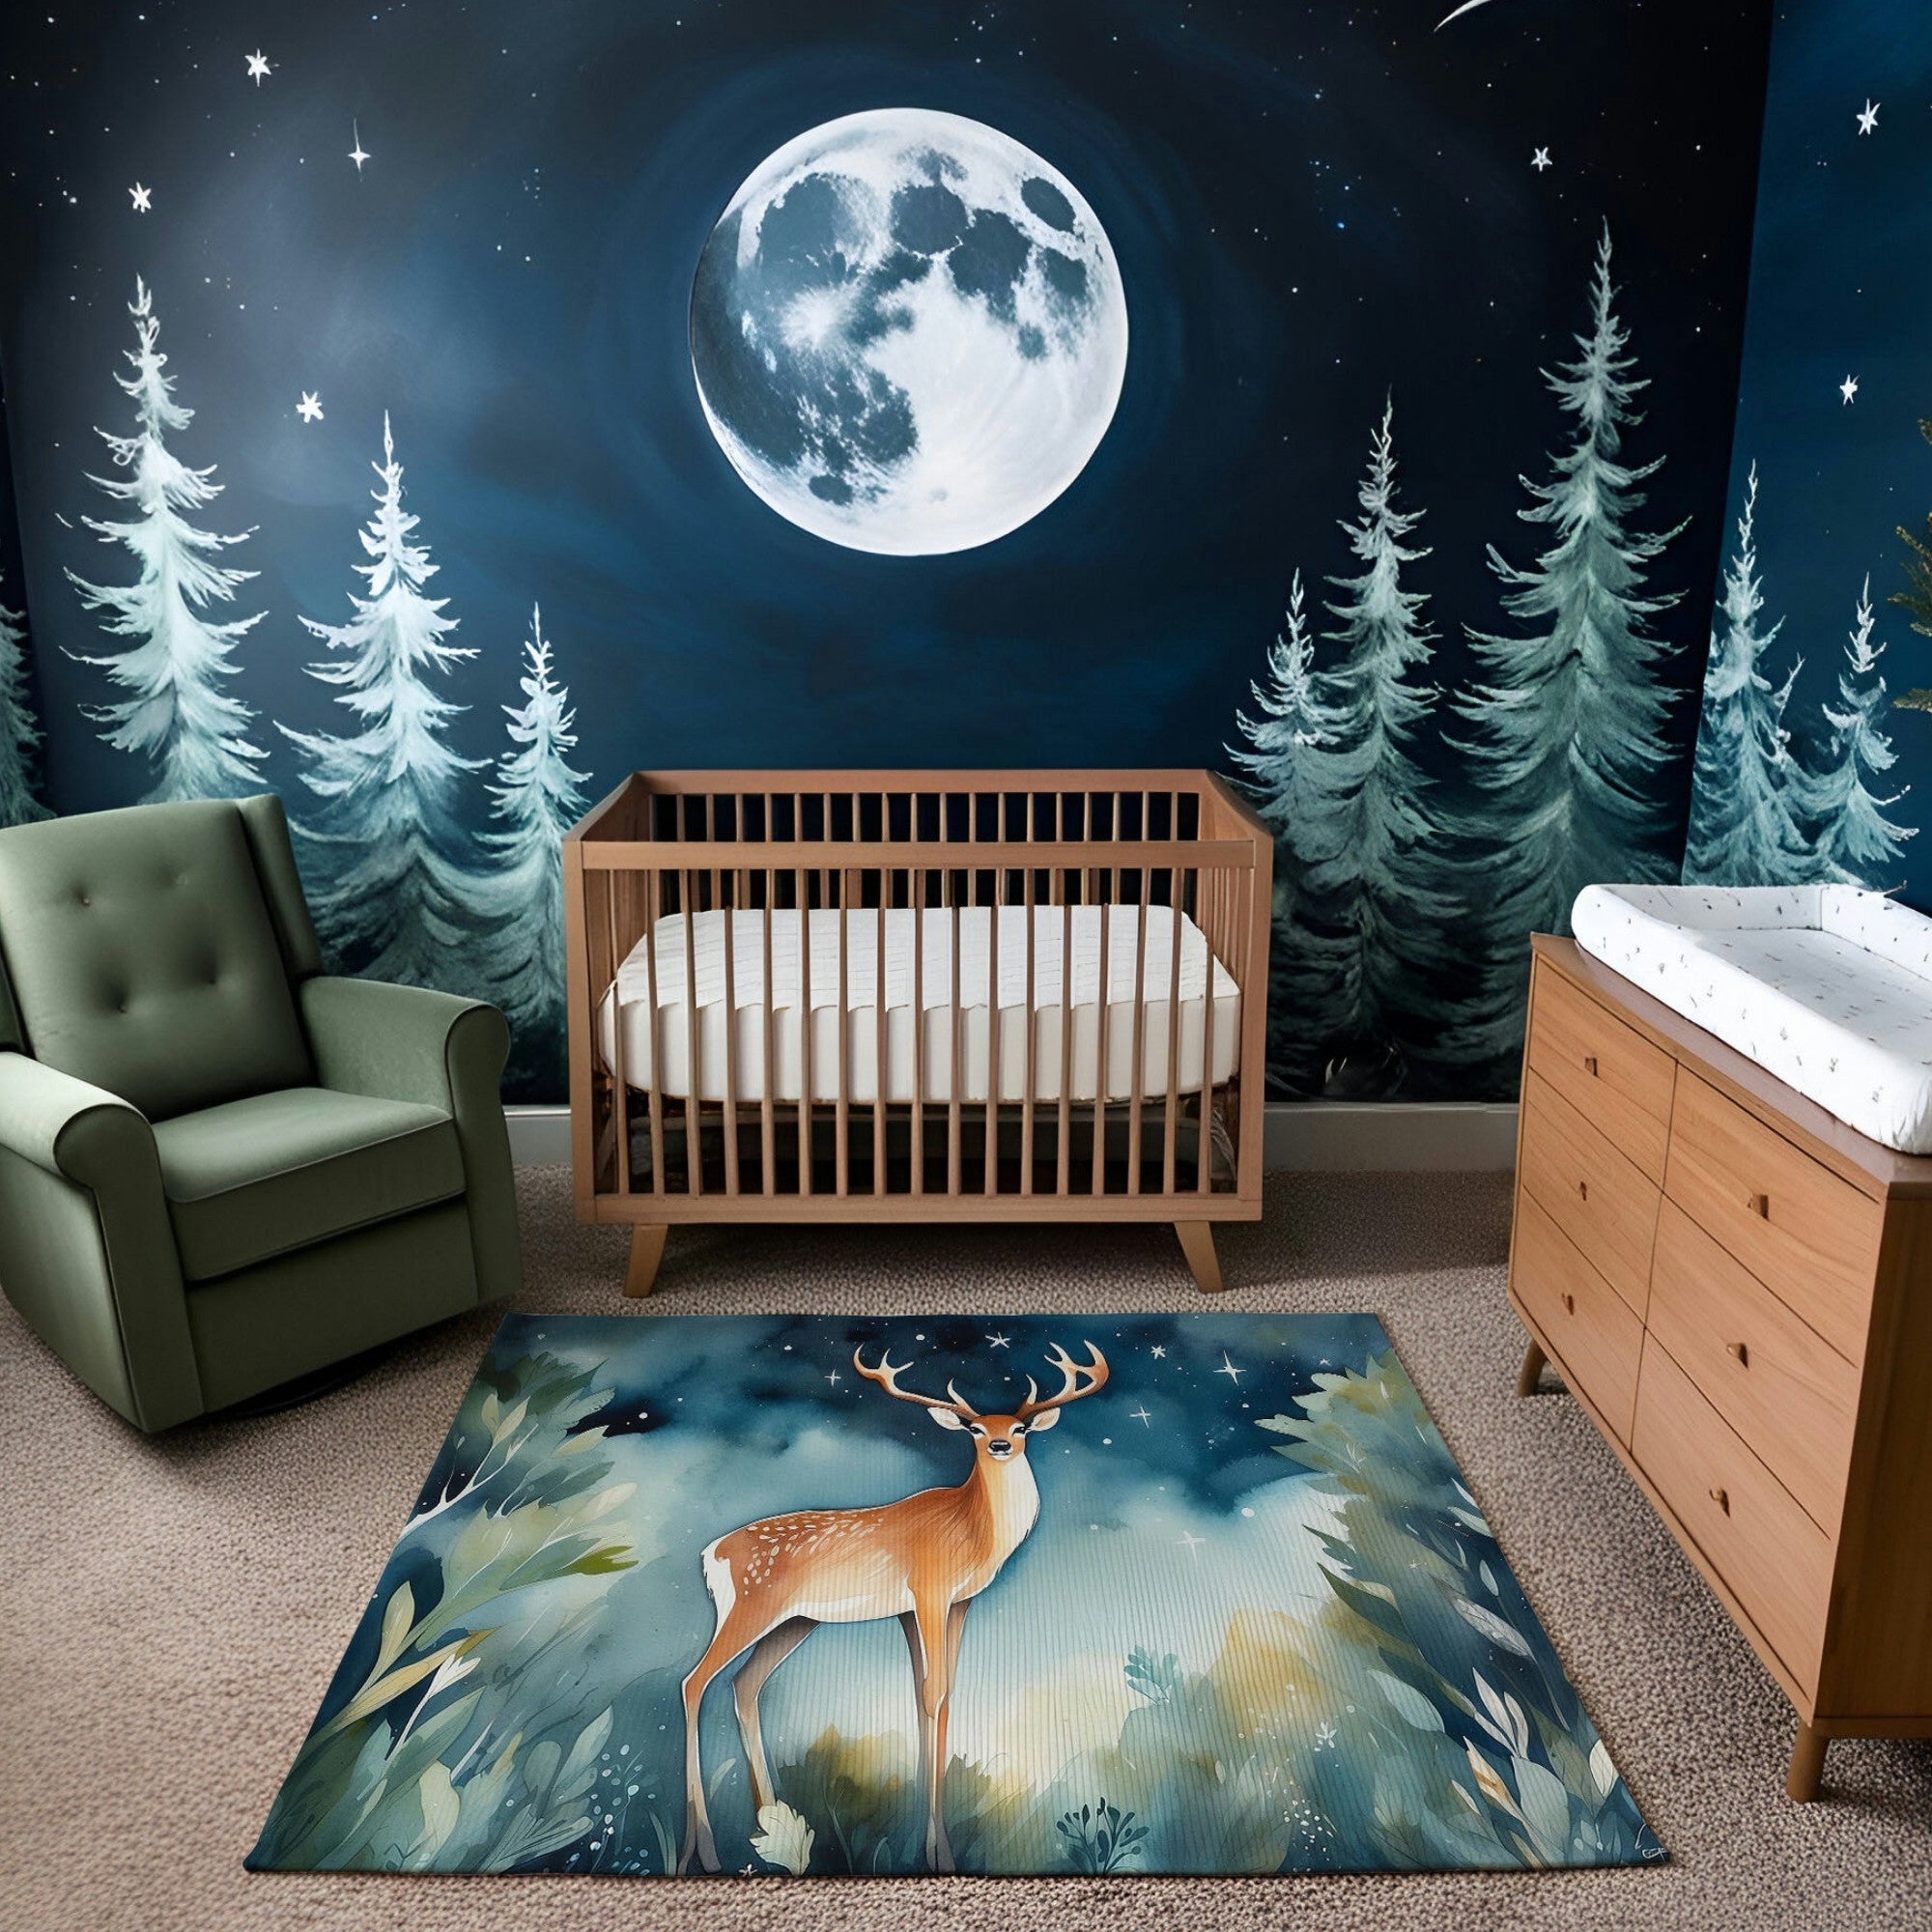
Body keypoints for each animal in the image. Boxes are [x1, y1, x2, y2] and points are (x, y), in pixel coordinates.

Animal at [680, 1345, 1113, 1870]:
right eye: (974, 1429)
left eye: (1020, 1428)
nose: (998, 1446)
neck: (973, 1530)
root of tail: (711, 1553)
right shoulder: (929, 1591)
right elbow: (933, 1692)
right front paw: (938, 1852)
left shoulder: (951, 1603)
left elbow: (936, 1695)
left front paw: (929, 1846)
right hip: (750, 1604)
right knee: (694, 1682)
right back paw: (704, 1850)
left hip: (796, 1621)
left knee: (745, 1685)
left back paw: (769, 1825)